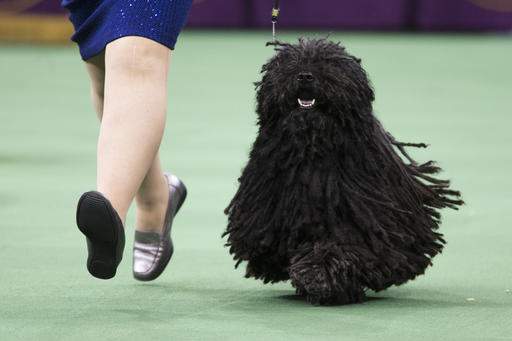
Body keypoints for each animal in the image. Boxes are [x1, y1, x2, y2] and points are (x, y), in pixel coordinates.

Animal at [224, 38, 464, 304]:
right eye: (290, 63)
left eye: (329, 64)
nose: (305, 75)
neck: (312, 149)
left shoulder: (358, 219)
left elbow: (340, 249)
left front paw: (321, 276)